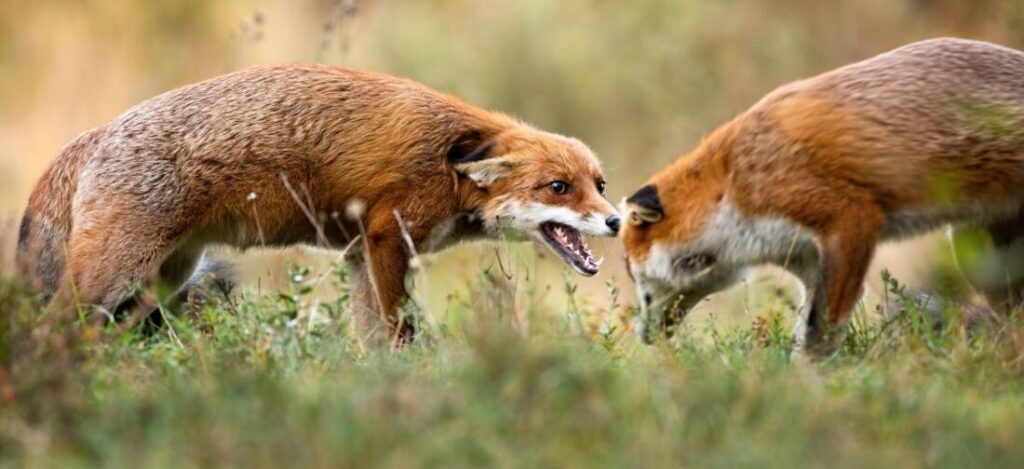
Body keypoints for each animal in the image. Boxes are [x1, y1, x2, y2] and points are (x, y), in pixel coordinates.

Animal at [16, 64, 621, 344]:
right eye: (558, 188)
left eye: (599, 182)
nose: (616, 220)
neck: (453, 169)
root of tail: (95, 133)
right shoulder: (388, 235)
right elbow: (400, 331)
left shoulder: (359, 253)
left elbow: (372, 338)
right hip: (112, 277)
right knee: (47, 332)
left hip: (160, 283)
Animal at [621, 38, 1024, 356]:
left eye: (632, 274)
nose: (641, 336)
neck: (733, 182)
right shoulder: (809, 261)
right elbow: (806, 332)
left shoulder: (850, 220)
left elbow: (820, 335)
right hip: (979, 254)